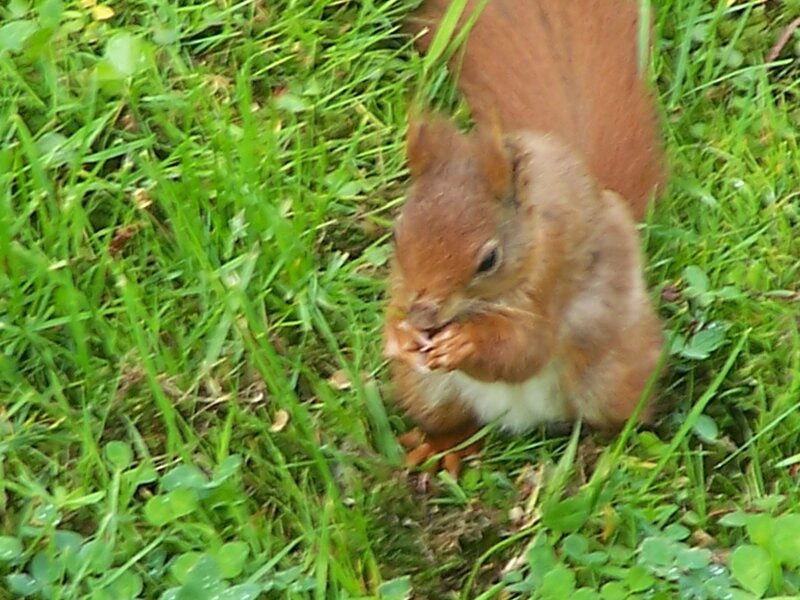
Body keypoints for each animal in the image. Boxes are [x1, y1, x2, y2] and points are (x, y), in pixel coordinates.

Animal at [383, 0, 668, 476]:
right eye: (396, 235)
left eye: (488, 260)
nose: (423, 317)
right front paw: (401, 337)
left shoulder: (547, 284)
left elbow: (523, 352)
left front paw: (467, 343)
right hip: (429, 392)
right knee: (453, 420)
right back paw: (443, 448)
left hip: (610, 378)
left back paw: (608, 455)